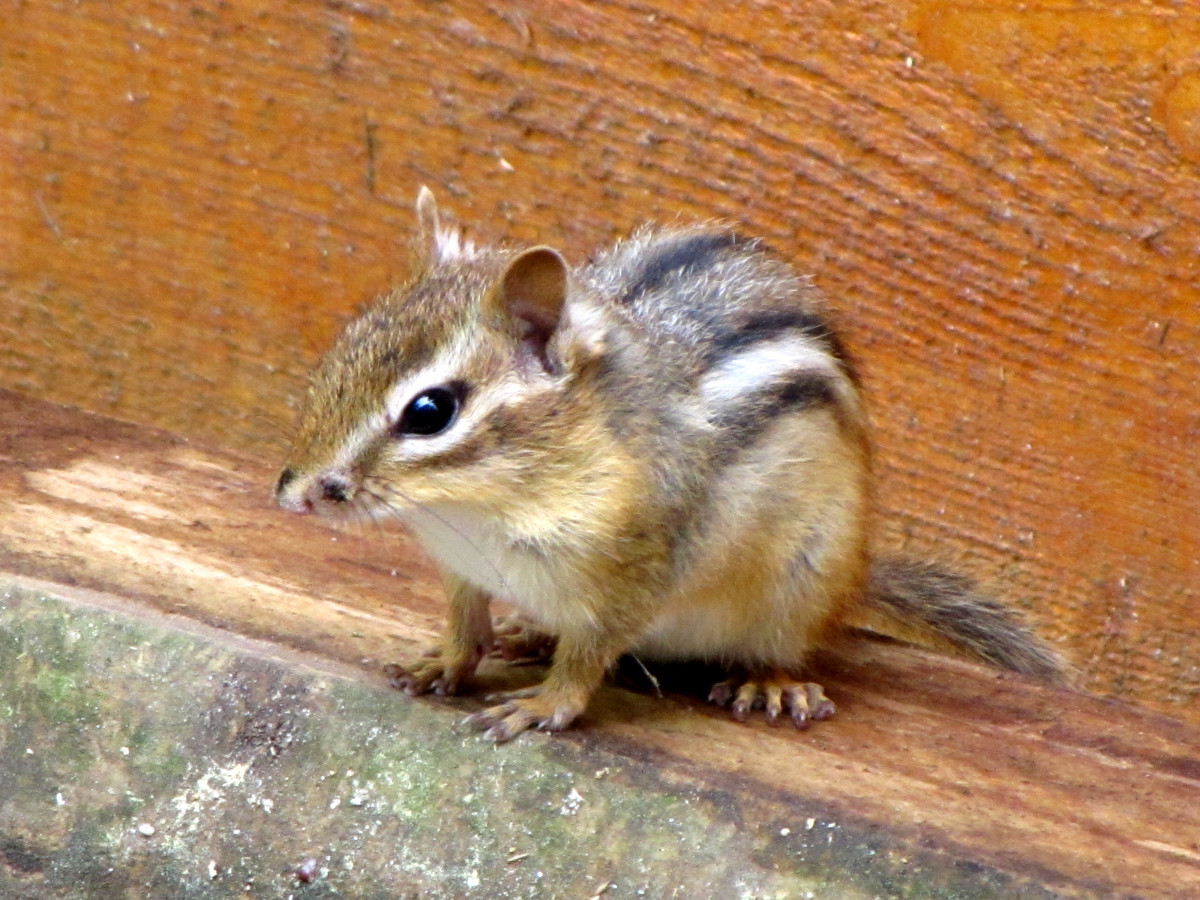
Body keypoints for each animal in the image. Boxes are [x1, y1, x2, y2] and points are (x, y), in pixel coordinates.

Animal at [275, 187, 1063, 742]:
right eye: (345, 343)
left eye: (430, 411)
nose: (294, 493)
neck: (477, 510)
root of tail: (856, 581)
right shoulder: (464, 569)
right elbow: (467, 626)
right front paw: (444, 662)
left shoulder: (638, 570)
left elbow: (590, 654)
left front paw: (545, 704)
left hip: (802, 581)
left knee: (783, 644)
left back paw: (771, 682)